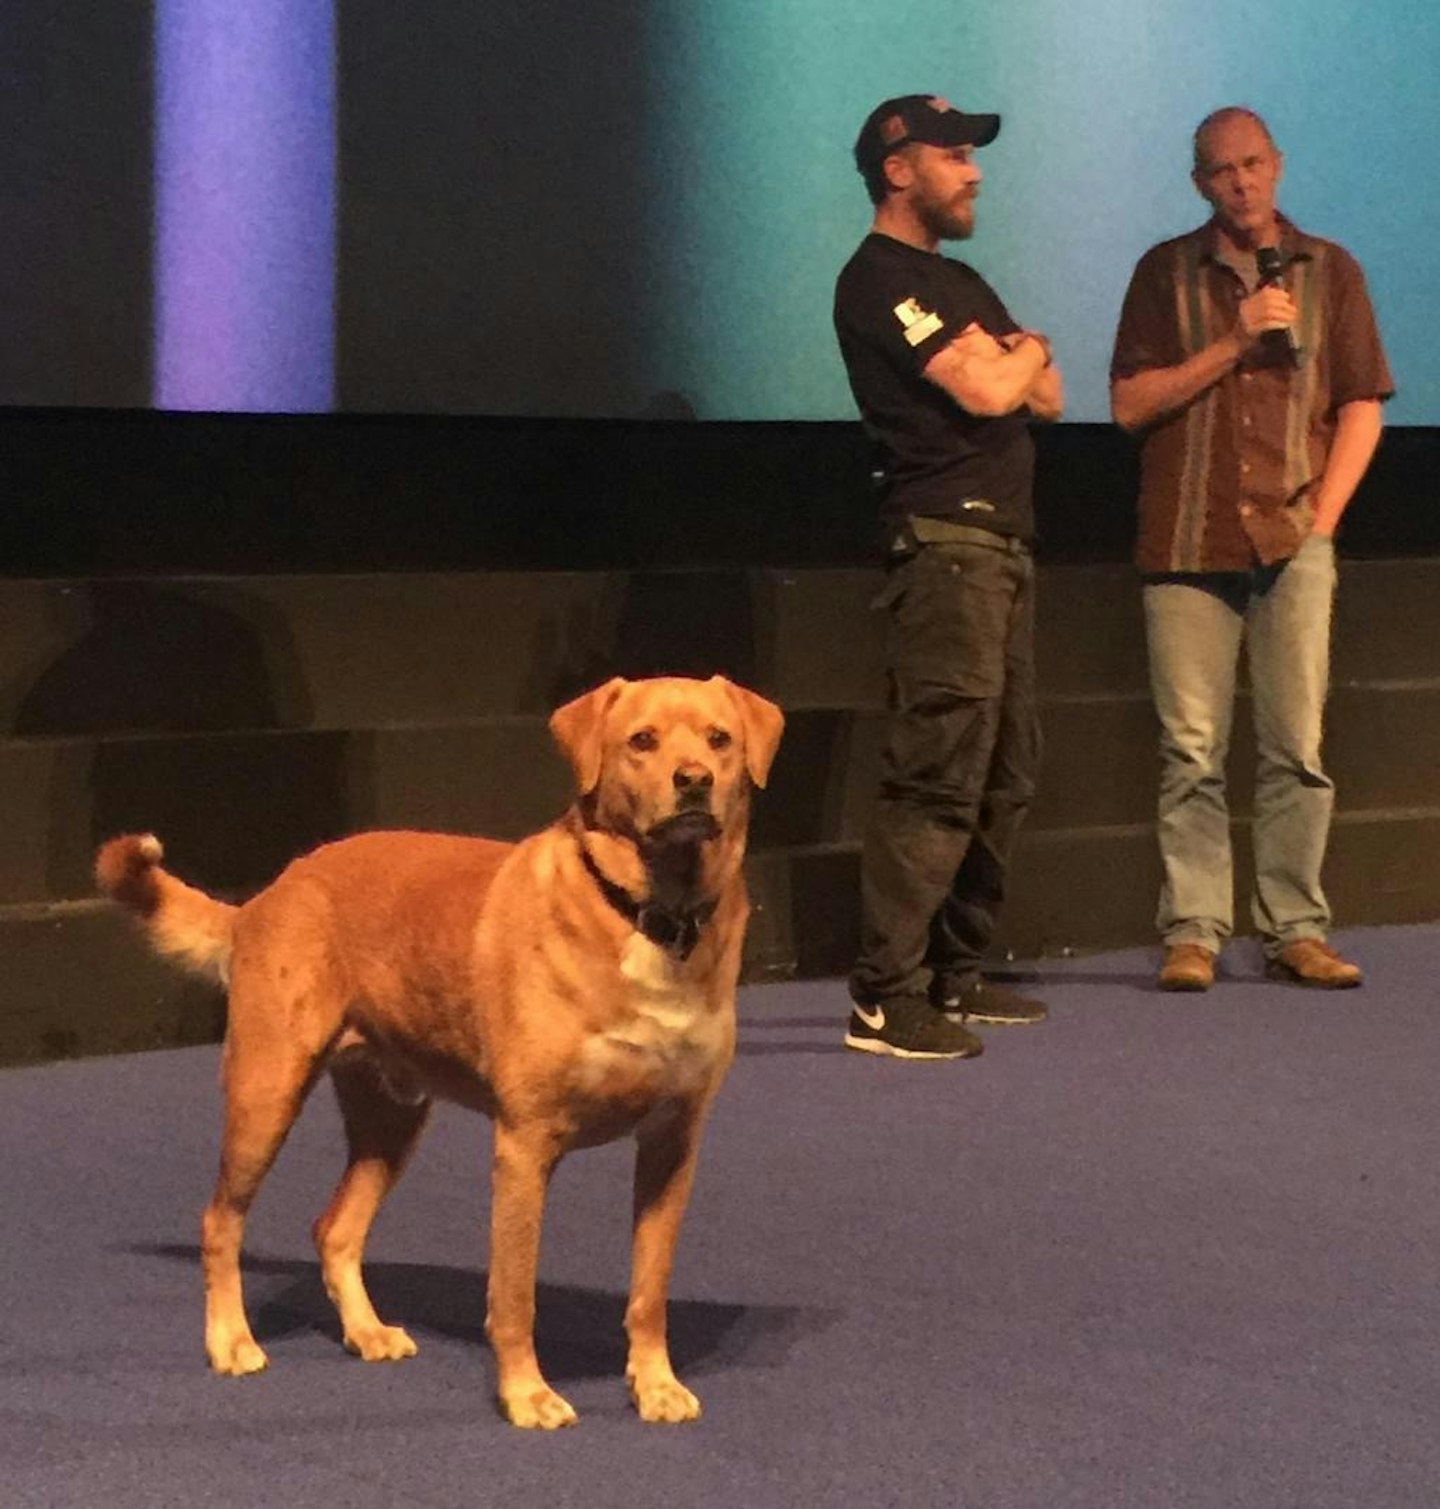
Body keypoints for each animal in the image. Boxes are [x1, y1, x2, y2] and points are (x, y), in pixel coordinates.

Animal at [98, 673, 784, 1424]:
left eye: (719, 738)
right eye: (642, 740)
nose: (694, 781)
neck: (647, 914)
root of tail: (267, 894)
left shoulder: (673, 1142)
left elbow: (649, 1290)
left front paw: (655, 1384)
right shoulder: (525, 1144)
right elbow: (514, 1294)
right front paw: (526, 1394)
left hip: (391, 1118)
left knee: (335, 1229)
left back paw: (367, 1331)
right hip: (266, 1092)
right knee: (221, 1221)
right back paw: (231, 1340)